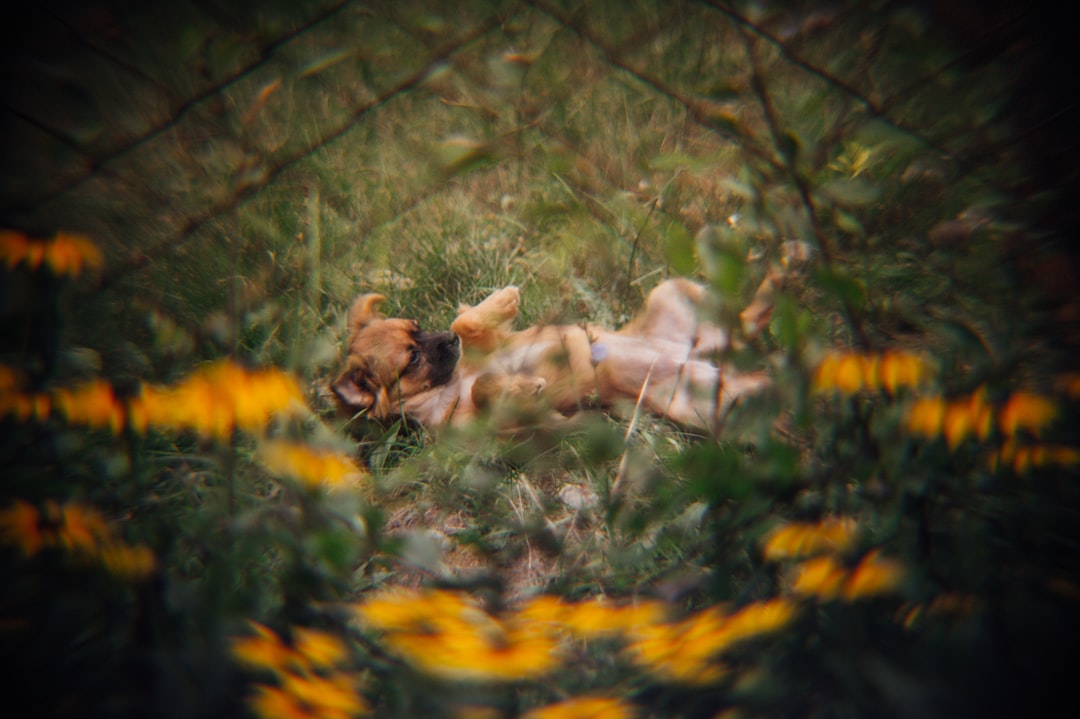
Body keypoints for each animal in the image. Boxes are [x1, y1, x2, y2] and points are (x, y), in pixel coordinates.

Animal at [332, 275, 773, 431]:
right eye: (413, 359)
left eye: (417, 326)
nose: (449, 345)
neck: (451, 386)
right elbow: (485, 389)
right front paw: (523, 386)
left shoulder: (493, 343)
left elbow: (465, 322)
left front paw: (501, 300)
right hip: (701, 405)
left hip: (671, 292)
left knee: (744, 318)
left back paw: (783, 268)